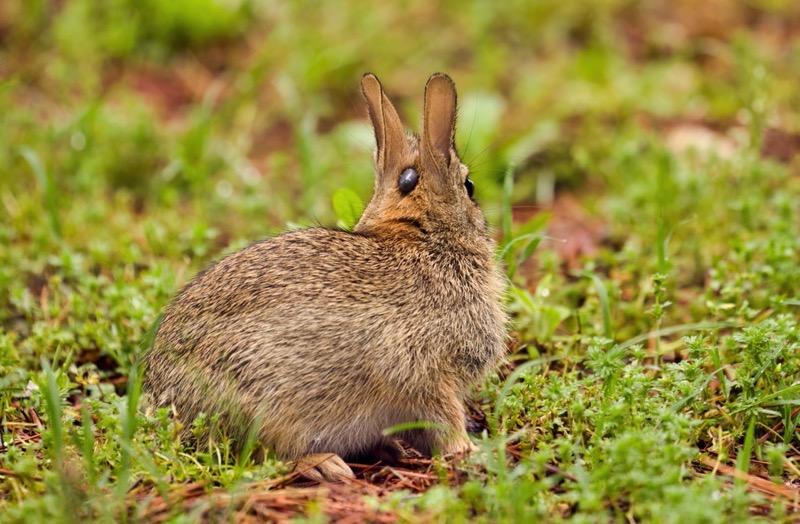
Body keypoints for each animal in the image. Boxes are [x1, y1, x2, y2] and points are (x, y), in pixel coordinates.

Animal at [142, 73, 507, 482]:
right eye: (470, 187)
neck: (424, 240)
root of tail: (165, 408)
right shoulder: (422, 370)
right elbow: (443, 416)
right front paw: (467, 451)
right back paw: (326, 465)